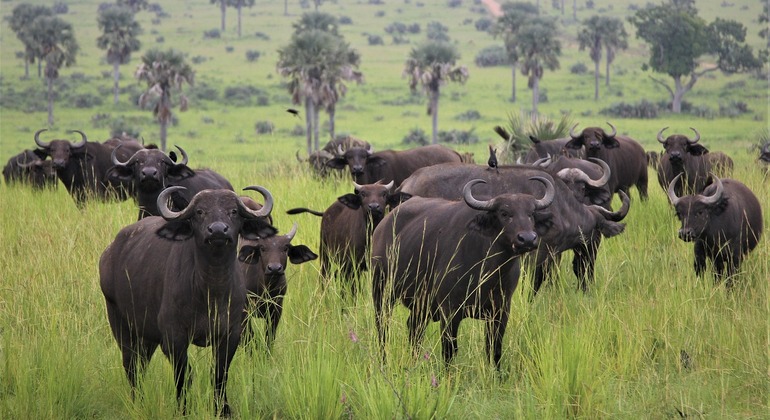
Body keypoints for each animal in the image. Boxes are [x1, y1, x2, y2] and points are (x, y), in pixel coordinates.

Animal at [97, 185, 274, 416]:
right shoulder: (174, 339)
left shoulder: (231, 334)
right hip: (121, 325)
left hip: (148, 335)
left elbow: (219, 374)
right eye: (199, 212)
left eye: (233, 211)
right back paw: (138, 403)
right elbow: (184, 375)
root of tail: (109, 254)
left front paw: (222, 409)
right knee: (132, 366)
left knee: (141, 364)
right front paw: (182, 410)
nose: (218, 230)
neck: (211, 290)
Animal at [370, 177, 552, 368]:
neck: (489, 272)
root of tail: (382, 227)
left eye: (531, 213)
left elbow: (494, 350)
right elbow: (449, 351)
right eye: (504, 213)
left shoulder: (501, 311)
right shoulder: (449, 311)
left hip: (421, 305)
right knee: (383, 327)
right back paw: (384, 359)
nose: (528, 239)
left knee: (414, 329)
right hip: (381, 291)